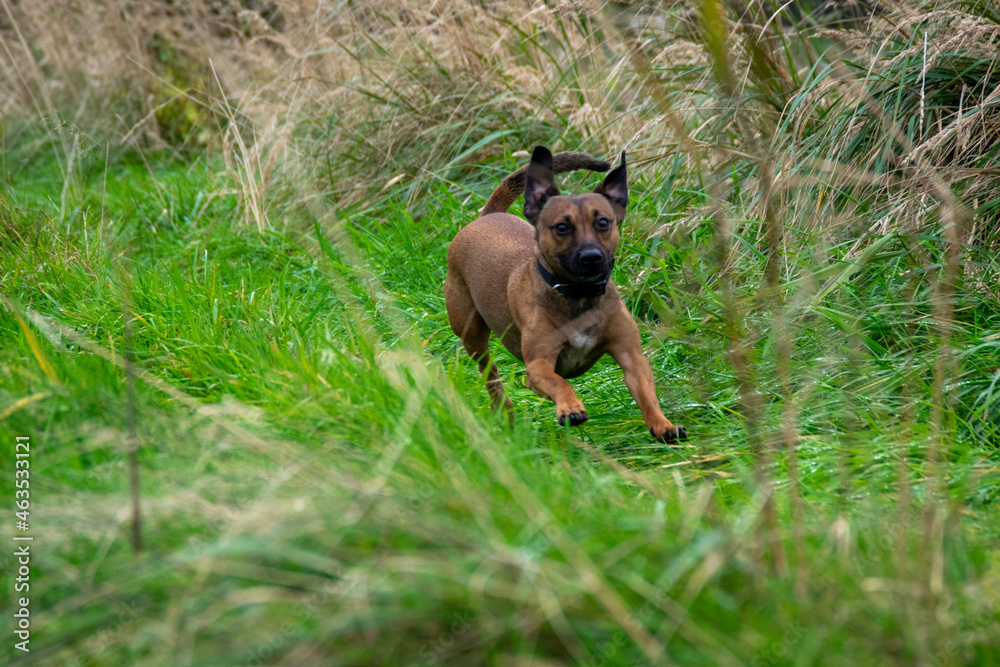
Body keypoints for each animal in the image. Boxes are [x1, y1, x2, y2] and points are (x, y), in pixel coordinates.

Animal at [448, 146, 688, 444]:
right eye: (562, 227)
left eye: (603, 222)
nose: (591, 257)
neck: (578, 295)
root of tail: (486, 217)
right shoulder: (537, 367)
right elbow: (558, 381)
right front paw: (570, 408)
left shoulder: (632, 357)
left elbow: (646, 393)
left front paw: (662, 425)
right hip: (472, 336)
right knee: (491, 376)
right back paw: (505, 414)